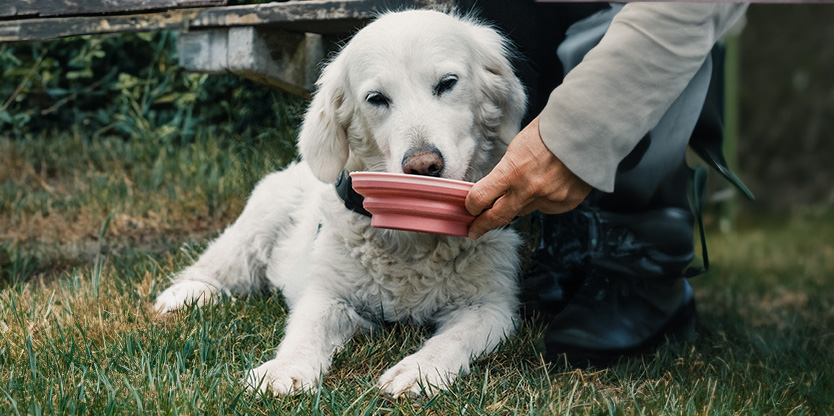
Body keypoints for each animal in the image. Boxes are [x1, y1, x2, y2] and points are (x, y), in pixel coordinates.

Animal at [153, 9, 524, 398]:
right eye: (376, 98)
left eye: (448, 83)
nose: (423, 166)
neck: (412, 235)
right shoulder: (328, 295)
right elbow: (306, 332)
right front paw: (283, 370)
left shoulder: (490, 307)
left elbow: (452, 340)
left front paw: (420, 369)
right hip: (255, 227)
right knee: (219, 266)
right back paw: (185, 295)